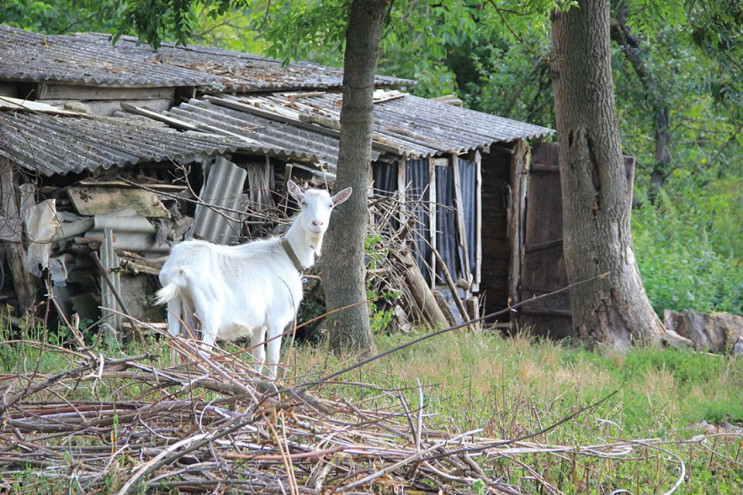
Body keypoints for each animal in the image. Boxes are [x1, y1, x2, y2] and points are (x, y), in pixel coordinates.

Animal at [154, 182, 352, 380]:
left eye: (330, 205)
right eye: (303, 202)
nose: (317, 224)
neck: (288, 255)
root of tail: (179, 269)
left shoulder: (258, 324)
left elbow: (259, 356)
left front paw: (257, 380)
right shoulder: (276, 318)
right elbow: (273, 356)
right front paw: (272, 383)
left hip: (176, 303)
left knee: (175, 341)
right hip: (210, 309)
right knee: (203, 351)